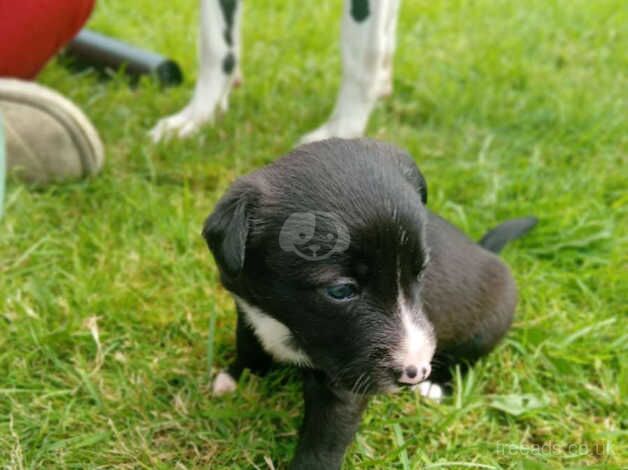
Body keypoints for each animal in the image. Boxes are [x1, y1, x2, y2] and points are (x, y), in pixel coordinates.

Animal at [201, 138, 536, 468]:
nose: (415, 372)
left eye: (421, 272)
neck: (283, 318)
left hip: (487, 327)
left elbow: (323, 442)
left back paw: (435, 386)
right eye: (340, 290)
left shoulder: (347, 379)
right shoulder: (247, 308)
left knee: (465, 361)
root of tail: (486, 251)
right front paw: (236, 378)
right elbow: (248, 344)